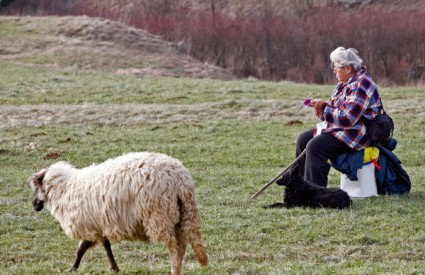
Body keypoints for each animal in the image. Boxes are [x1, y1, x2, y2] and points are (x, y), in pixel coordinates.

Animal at [29, 152, 208, 274]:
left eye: (37, 187)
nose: (34, 205)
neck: (65, 188)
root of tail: (181, 180)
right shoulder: (98, 224)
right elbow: (104, 246)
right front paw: (114, 267)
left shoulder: (89, 225)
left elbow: (81, 249)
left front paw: (72, 268)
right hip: (181, 214)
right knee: (182, 245)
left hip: (160, 215)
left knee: (173, 247)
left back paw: (174, 269)